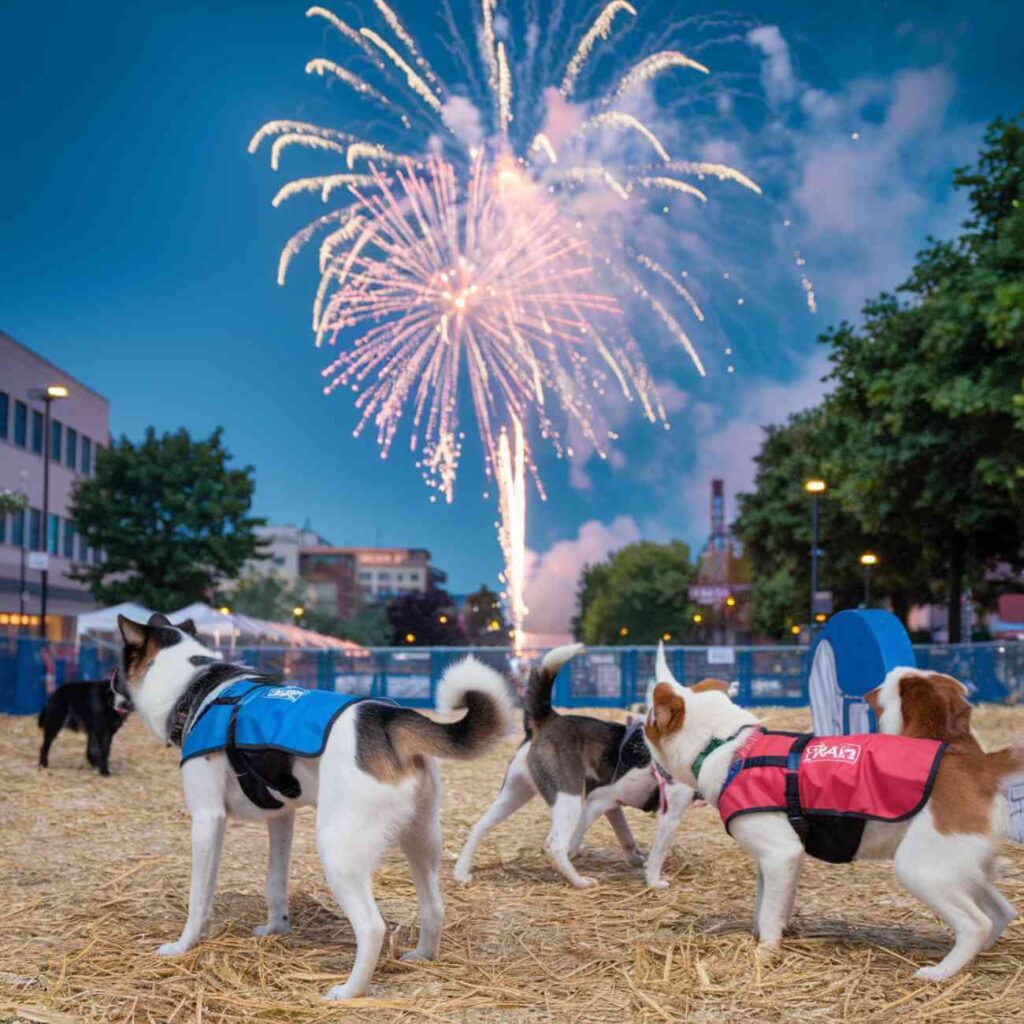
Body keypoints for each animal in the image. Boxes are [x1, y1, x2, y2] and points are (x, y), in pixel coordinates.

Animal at [119, 610, 516, 995]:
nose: (109, 687)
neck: (194, 688)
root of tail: (385, 718)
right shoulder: (281, 817)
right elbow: (275, 881)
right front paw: (275, 928)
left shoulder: (207, 819)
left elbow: (198, 898)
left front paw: (183, 945)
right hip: (420, 839)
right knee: (433, 906)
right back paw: (422, 955)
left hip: (338, 851)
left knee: (372, 927)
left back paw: (350, 991)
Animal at [643, 651, 1019, 978]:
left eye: (648, 719)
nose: (638, 735)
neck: (724, 744)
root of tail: (978, 766)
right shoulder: (778, 861)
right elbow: (768, 903)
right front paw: (768, 932)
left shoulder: (780, 853)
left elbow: (768, 914)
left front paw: (765, 950)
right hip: (964, 866)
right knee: (1002, 912)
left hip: (923, 868)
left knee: (976, 923)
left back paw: (940, 972)